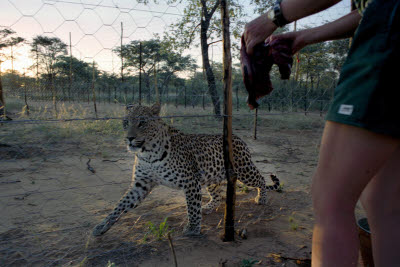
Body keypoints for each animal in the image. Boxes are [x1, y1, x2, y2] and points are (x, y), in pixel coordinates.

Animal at [93, 103, 282, 238]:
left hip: (244, 170)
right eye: (125, 123)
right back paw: (208, 207)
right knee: (218, 196)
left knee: (261, 179)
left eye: (142, 123)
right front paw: (102, 226)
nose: (129, 138)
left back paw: (261, 198)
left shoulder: (190, 181)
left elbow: (191, 207)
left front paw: (192, 228)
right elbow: (120, 205)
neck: (147, 153)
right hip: (212, 177)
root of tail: (238, 137)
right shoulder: (142, 183)